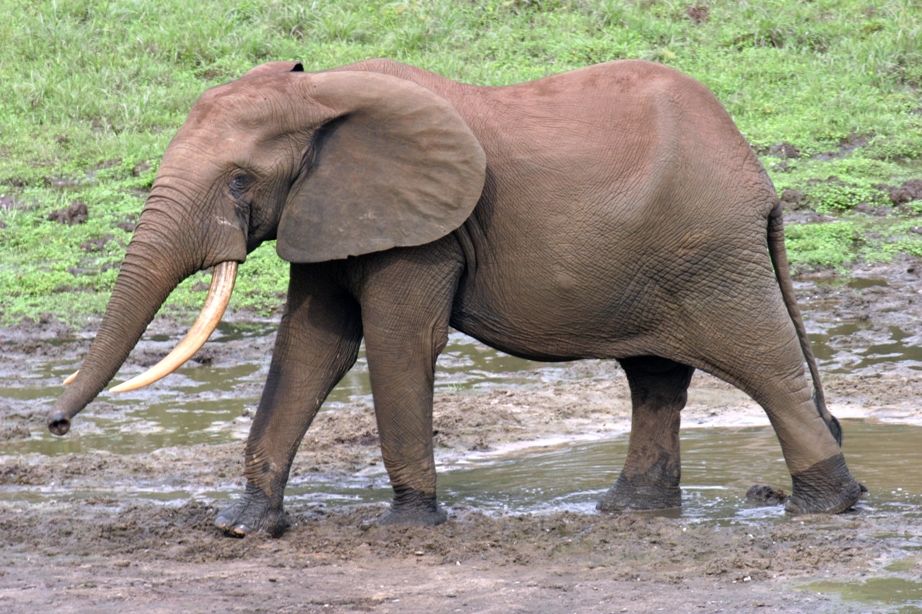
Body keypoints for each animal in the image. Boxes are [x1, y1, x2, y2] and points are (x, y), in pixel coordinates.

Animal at [46, 59, 860, 540]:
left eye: (241, 181)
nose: (54, 425)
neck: (323, 90)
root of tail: (760, 178)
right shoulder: (332, 209)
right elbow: (311, 347)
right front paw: (242, 527)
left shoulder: (421, 229)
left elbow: (396, 341)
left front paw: (408, 527)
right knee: (655, 377)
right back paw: (630, 511)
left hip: (711, 253)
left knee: (764, 364)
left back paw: (824, 508)